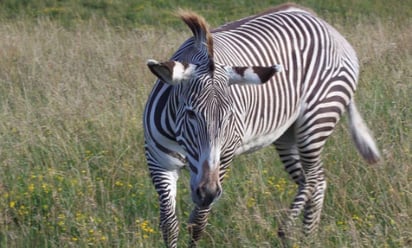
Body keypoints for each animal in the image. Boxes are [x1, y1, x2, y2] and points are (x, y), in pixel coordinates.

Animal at [142, 2, 380, 247]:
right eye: (190, 113)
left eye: (230, 116)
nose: (207, 193)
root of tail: (321, 22)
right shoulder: (159, 162)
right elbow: (169, 225)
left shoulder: (223, 158)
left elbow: (197, 224)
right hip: (287, 135)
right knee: (315, 180)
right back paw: (304, 236)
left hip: (316, 121)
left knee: (314, 178)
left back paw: (292, 231)